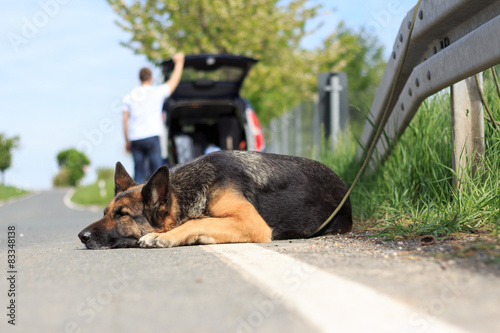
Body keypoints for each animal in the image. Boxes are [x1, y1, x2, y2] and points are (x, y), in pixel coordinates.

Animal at [78, 150, 352, 249]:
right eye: (104, 212)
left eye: (122, 214)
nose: (82, 236)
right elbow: (202, 221)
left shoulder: (252, 222)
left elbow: (196, 221)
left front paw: (164, 236)